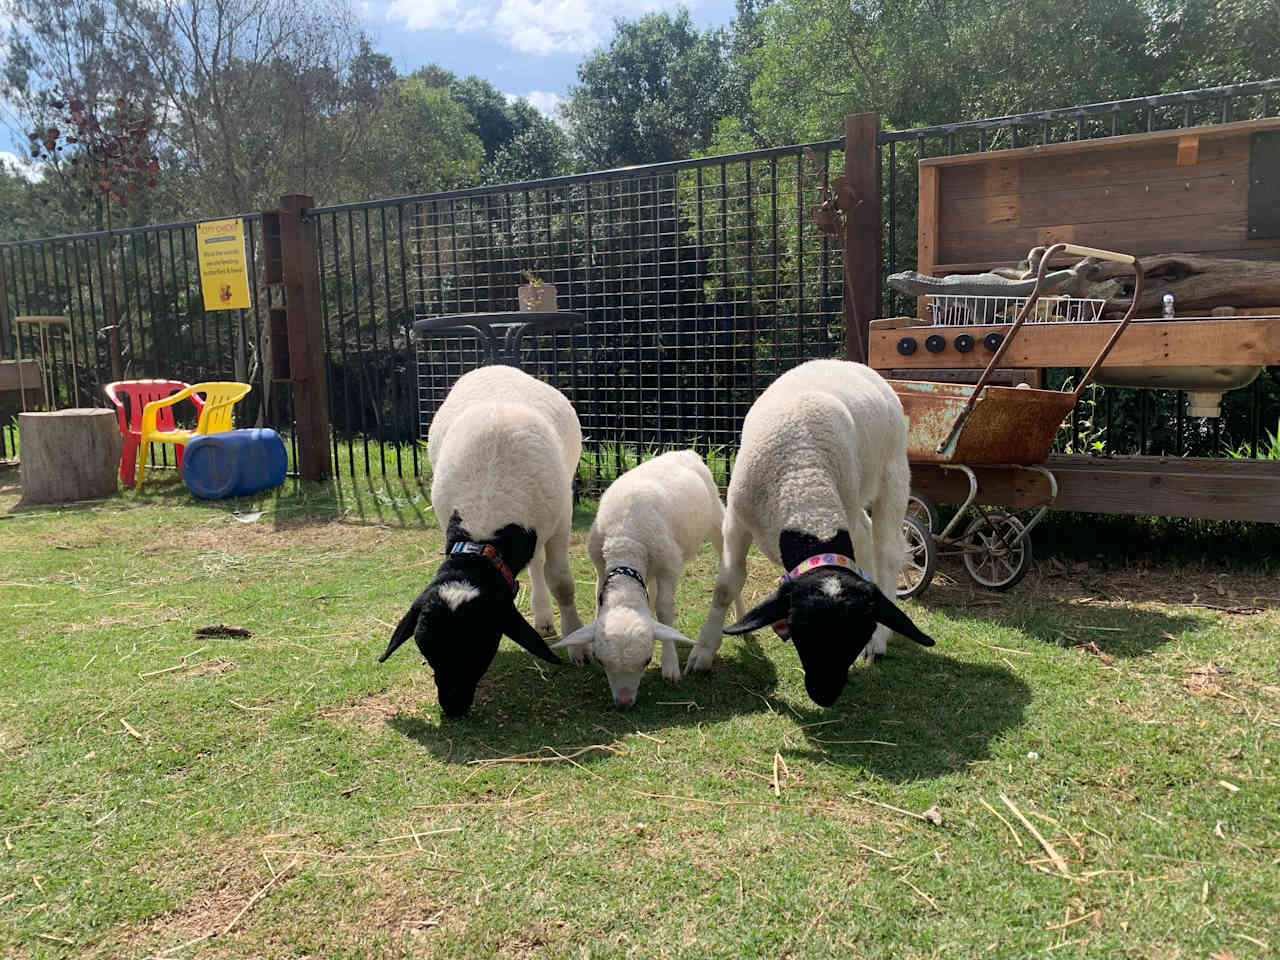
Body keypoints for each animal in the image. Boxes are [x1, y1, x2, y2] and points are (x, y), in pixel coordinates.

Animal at [376, 363, 583, 716]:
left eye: (481, 646)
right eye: (427, 652)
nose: (453, 708)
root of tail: (496, 366)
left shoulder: (561, 518)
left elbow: (562, 582)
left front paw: (577, 641)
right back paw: (542, 616)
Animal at [555, 450, 747, 706]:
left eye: (647, 661)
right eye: (601, 661)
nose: (624, 702)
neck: (624, 540)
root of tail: (687, 452)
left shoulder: (669, 566)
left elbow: (665, 609)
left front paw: (670, 664)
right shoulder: (600, 565)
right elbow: (599, 599)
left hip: (717, 519)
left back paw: (741, 614)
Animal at [691, 360, 931, 706]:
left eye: (857, 633)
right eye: (800, 629)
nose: (825, 695)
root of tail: (846, 363)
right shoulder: (736, 521)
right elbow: (725, 587)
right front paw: (703, 652)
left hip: (893, 474)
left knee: (886, 550)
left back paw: (879, 641)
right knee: (865, 532)